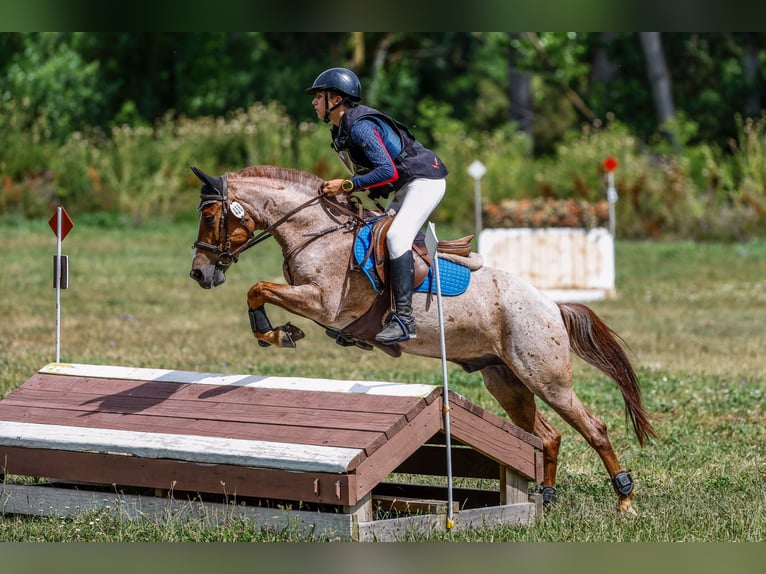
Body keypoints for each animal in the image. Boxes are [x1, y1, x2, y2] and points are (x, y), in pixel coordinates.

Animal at [189, 164, 656, 516]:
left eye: (211, 218)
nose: (199, 273)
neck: (317, 232)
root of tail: (552, 305)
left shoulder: (322, 302)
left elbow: (257, 289)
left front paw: (277, 333)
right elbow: (258, 290)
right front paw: (276, 332)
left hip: (545, 375)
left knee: (593, 428)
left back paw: (626, 499)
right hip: (505, 380)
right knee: (548, 435)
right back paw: (549, 497)